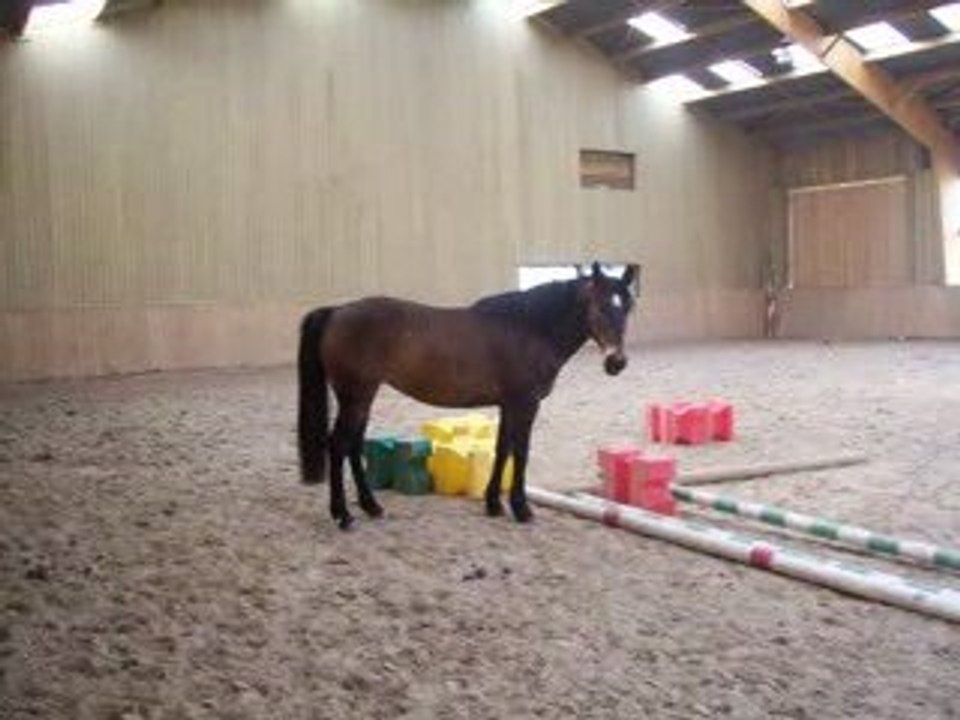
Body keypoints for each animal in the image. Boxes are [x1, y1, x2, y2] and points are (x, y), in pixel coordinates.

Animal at [297, 261, 640, 530]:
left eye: (627, 308)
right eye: (599, 306)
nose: (616, 362)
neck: (527, 328)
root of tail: (337, 312)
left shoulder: (507, 405)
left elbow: (503, 450)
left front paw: (493, 504)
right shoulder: (525, 403)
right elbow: (521, 452)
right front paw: (522, 509)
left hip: (361, 398)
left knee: (353, 446)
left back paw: (371, 507)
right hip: (355, 396)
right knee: (338, 445)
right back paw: (342, 515)